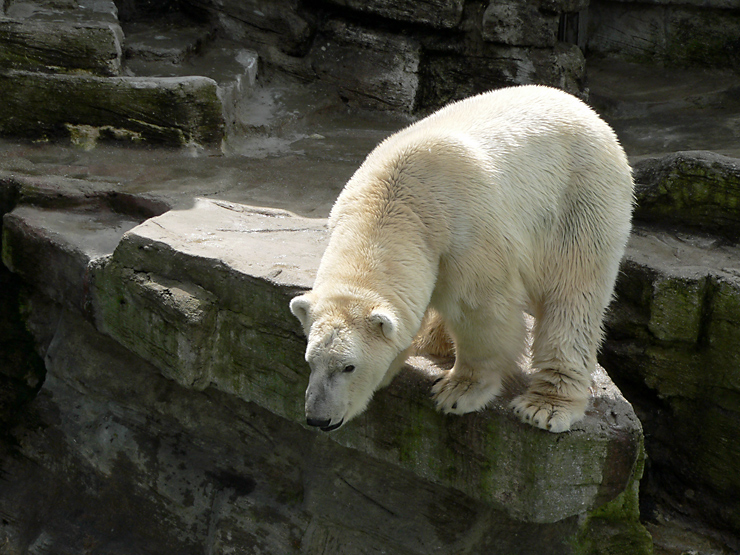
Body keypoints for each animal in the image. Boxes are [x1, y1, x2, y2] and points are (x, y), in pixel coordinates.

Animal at [288, 86, 632, 434]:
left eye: (349, 367)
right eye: (310, 361)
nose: (319, 419)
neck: (394, 202)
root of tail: (588, 112)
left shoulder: (468, 234)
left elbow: (480, 311)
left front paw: (458, 391)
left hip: (579, 200)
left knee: (573, 296)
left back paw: (546, 405)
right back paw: (433, 340)